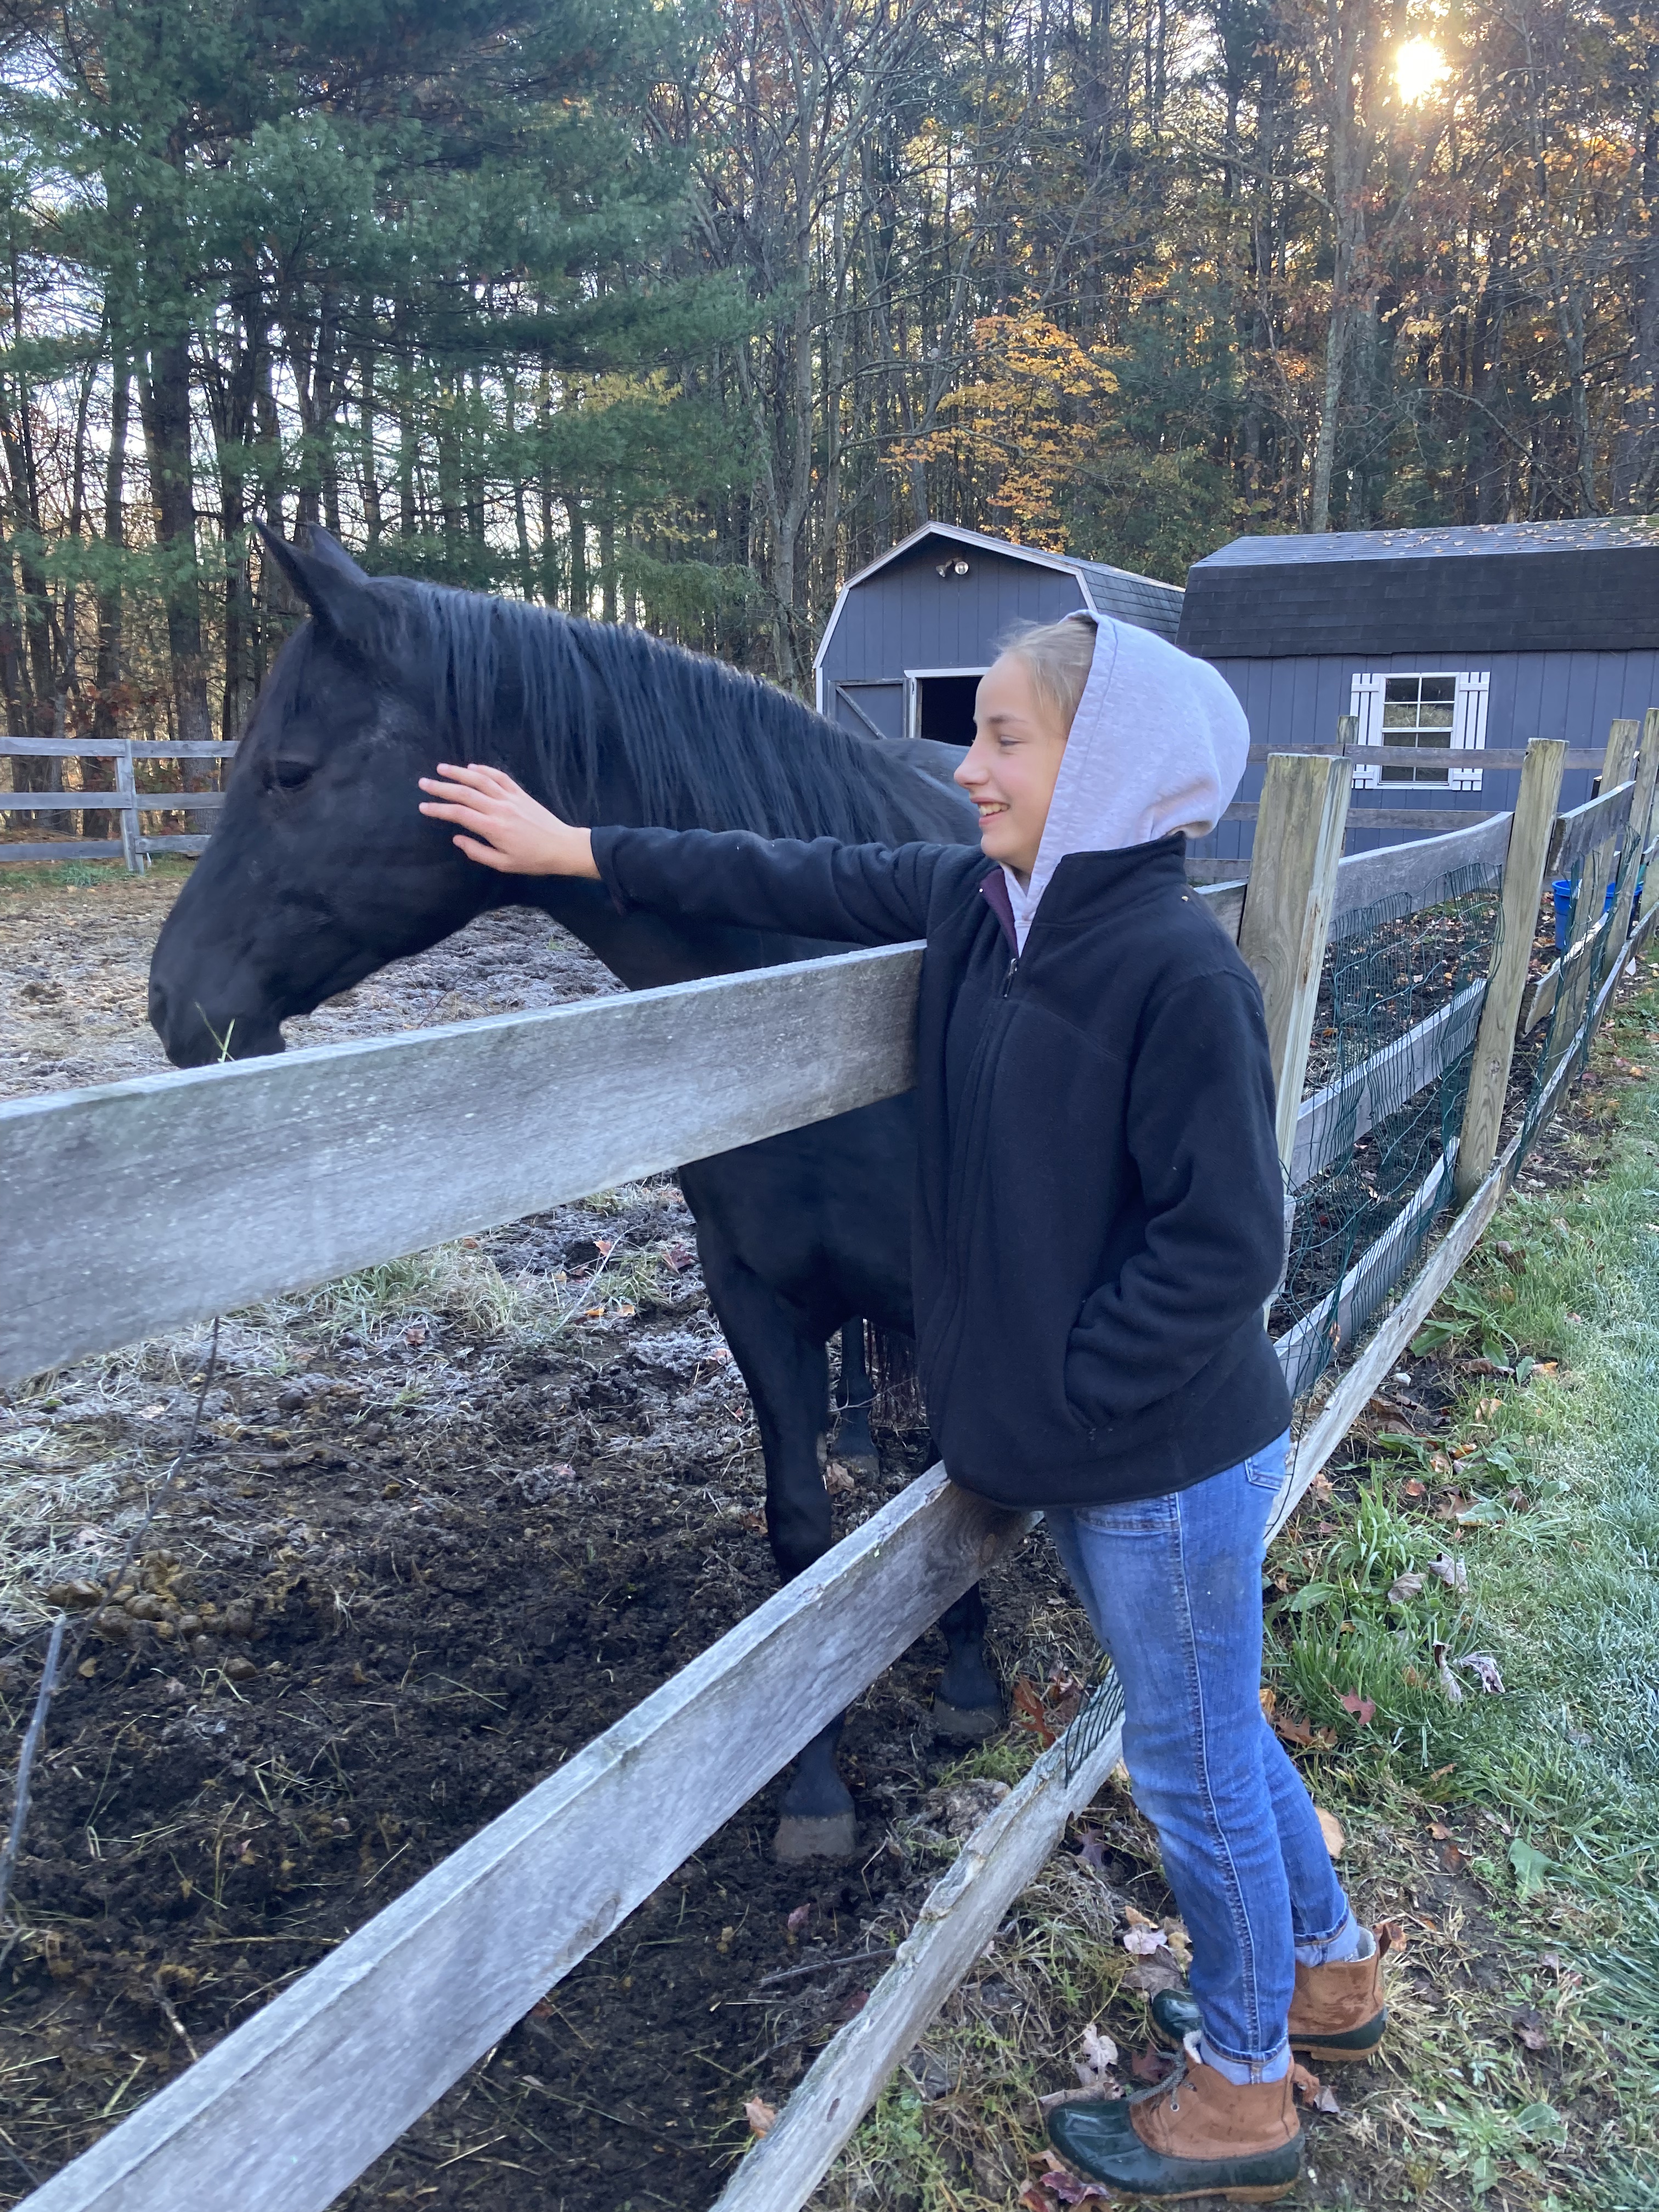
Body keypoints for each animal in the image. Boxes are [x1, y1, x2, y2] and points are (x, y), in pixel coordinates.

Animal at [147, 526, 1003, 1860]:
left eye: (287, 772)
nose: (175, 1004)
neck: (818, 992)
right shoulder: (748, 1295)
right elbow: (802, 1536)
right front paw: (810, 1787)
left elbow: (948, 1494)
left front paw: (967, 1682)